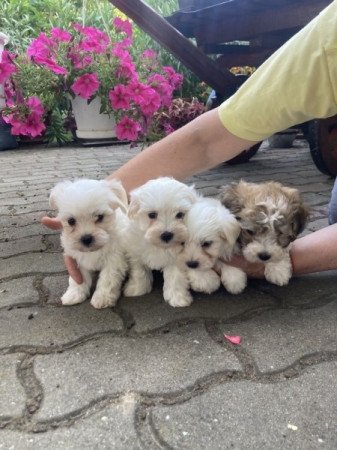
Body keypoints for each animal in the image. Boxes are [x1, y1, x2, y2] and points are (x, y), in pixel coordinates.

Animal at [49, 179, 128, 310]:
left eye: (100, 217)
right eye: (71, 221)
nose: (86, 238)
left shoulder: (114, 259)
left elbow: (108, 279)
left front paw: (102, 298)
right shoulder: (77, 258)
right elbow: (78, 278)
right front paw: (74, 294)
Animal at [121, 178, 198, 308]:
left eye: (180, 214)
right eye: (152, 214)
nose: (166, 235)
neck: (159, 246)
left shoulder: (177, 258)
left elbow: (175, 278)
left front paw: (177, 298)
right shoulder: (135, 251)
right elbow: (139, 271)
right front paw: (137, 289)